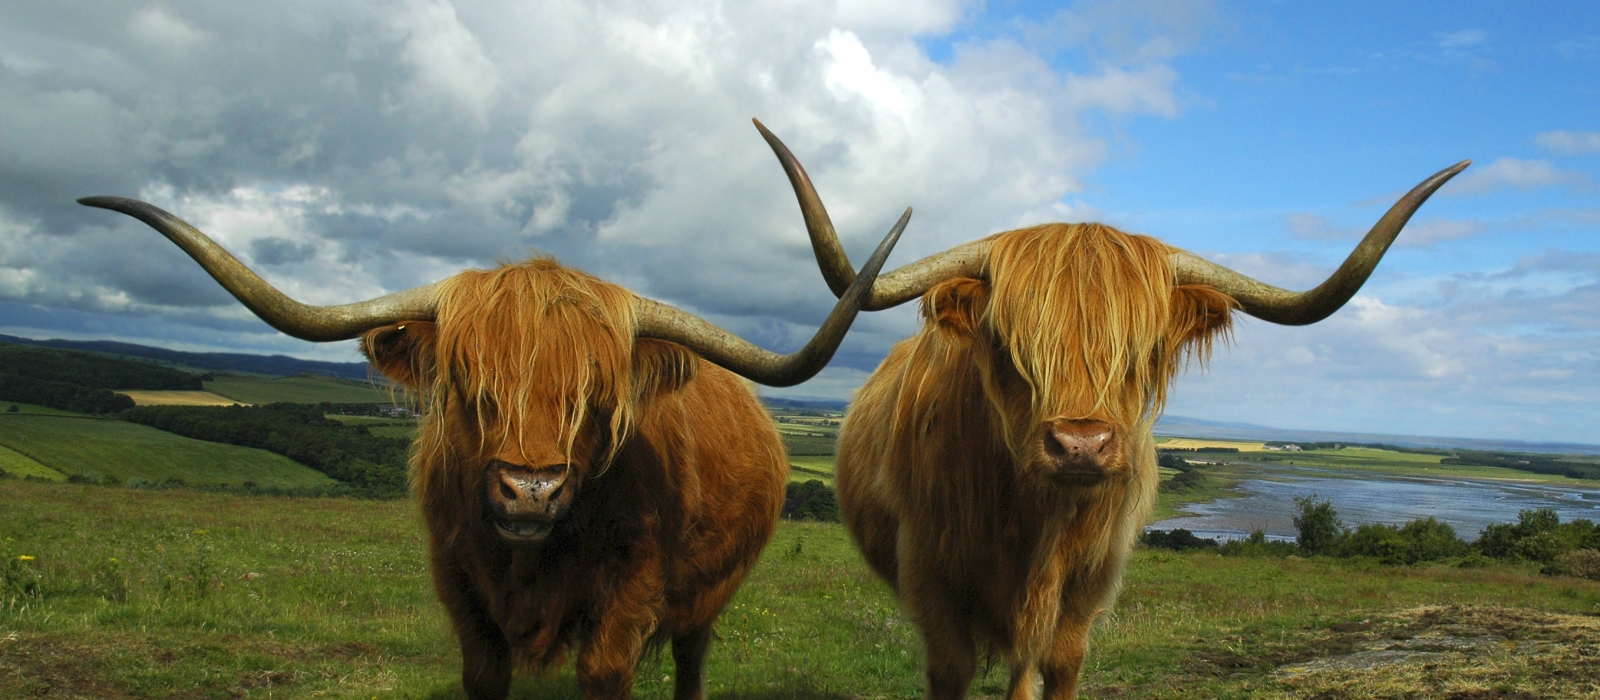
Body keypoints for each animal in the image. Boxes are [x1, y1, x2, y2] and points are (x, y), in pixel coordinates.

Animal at [79, 124, 910, 700]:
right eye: (468, 384)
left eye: (596, 399)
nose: (529, 490)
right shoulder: (458, 585)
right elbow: (484, 671)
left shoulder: (630, 595)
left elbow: (607, 670)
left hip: (707, 596)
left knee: (690, 657)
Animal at [758, 126, 1467, 700]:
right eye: (1007, 343)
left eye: (1142, 351)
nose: (1080, 445)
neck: (1033, 521)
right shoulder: (931, 579)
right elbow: (951, 669)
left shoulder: (1088, 585)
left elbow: (1060, 664)